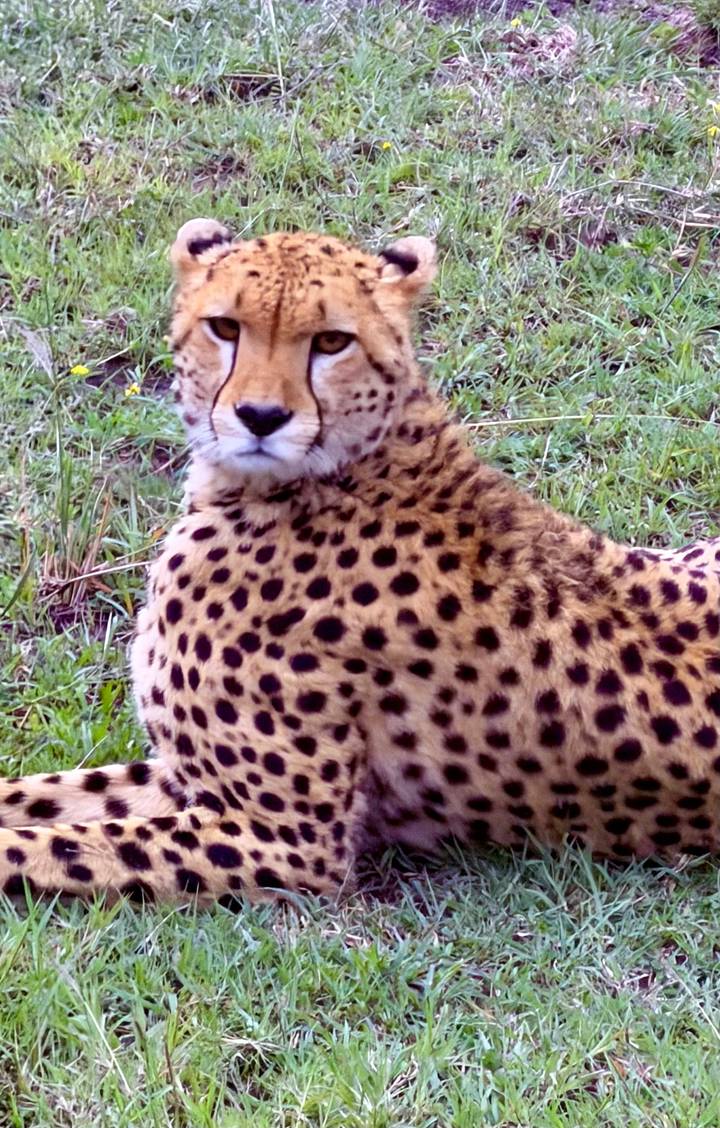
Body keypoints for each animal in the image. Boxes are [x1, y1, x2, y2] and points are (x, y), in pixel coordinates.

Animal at [3, 216, 720, 907]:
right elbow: (33, 798)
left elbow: (39, 846)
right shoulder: (189, 783)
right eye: (225, 327)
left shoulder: (286, 842)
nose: (260, 416)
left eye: (331, 341)